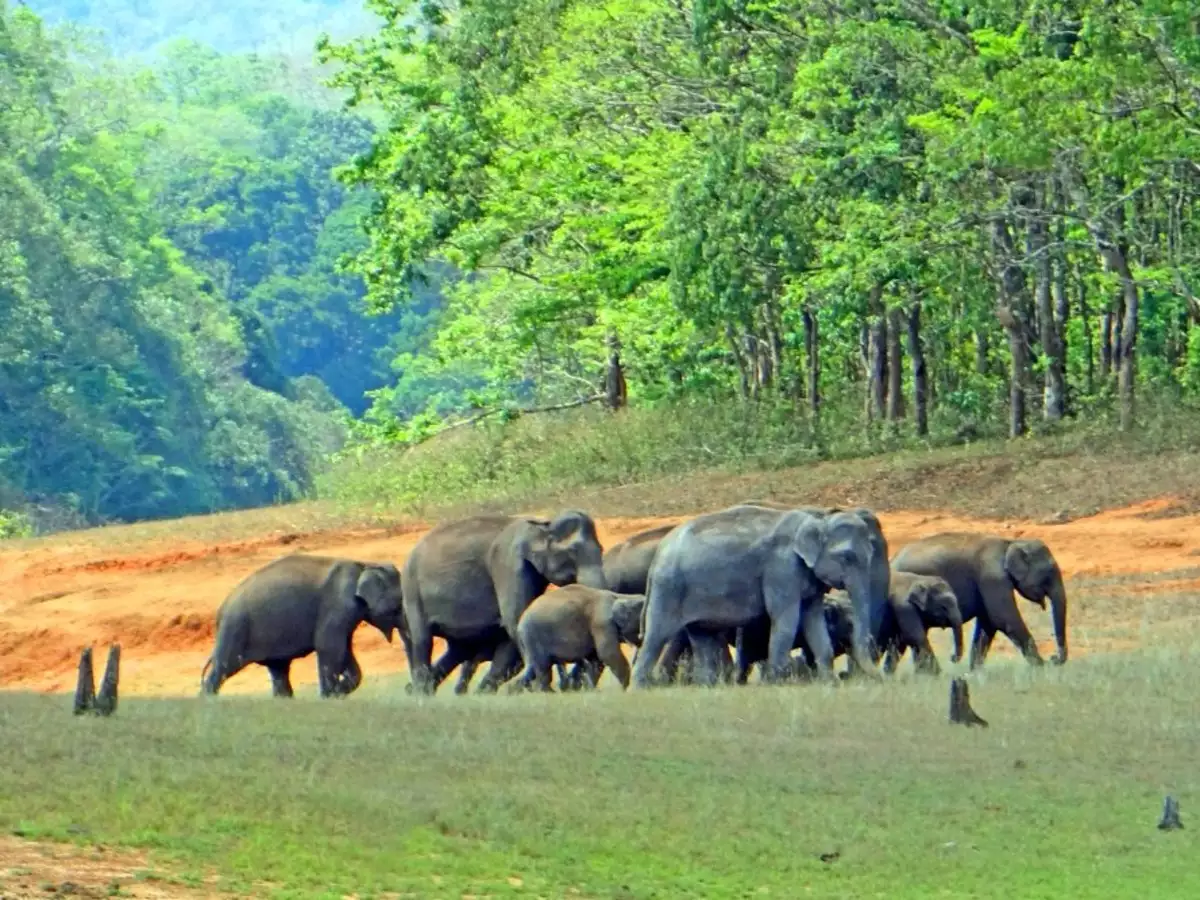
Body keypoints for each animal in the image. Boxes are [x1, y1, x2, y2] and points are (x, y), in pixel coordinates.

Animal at [199, 554, 400, 700]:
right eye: (398, 606)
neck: (365, 565)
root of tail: (220, 612)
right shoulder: (337, 606)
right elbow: (329, 647)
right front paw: (329, 696)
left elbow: (344, 650)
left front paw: (338, 691)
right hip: (235, 628)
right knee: (225, 666)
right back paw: (207, 699)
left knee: (278, 669)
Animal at [405, 511, 609, 696]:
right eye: (572, 552)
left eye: (601, 549)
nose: (572, 685)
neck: (541, 525)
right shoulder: (507, 564)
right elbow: (516, 620)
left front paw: (487, 692)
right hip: (413, 592)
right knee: (422, 639)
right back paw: (421, 692)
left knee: (460, 649)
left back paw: (426, 689)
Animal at [508, 585, 648, 691]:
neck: (620, 596)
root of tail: (520, 623)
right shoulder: (601, 622)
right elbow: (607, 654)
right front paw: (625, 689)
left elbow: (595, 659)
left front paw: (590, 690)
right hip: (533, 636)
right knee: (543, 668)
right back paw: (547, 692)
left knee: (533, 668)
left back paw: (512, 691)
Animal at [633, 504, 888, 686]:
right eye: (847, 557)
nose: (882, 680)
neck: (817, 517)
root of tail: (658, 554)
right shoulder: (781, 569)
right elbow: (786, 620)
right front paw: (777, 683)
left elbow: (814, 621)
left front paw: (829, 684)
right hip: (669, 588)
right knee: (656, 636)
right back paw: (641, 688)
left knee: (701, 636)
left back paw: (708, 686)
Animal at [892, 535, 1070, 672]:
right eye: (1050, 572)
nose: (1053, 658)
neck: (1010, 543)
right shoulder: (992, 577)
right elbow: (1003, 619)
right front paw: (1041, 668)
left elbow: (988, 623)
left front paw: (975, 673)